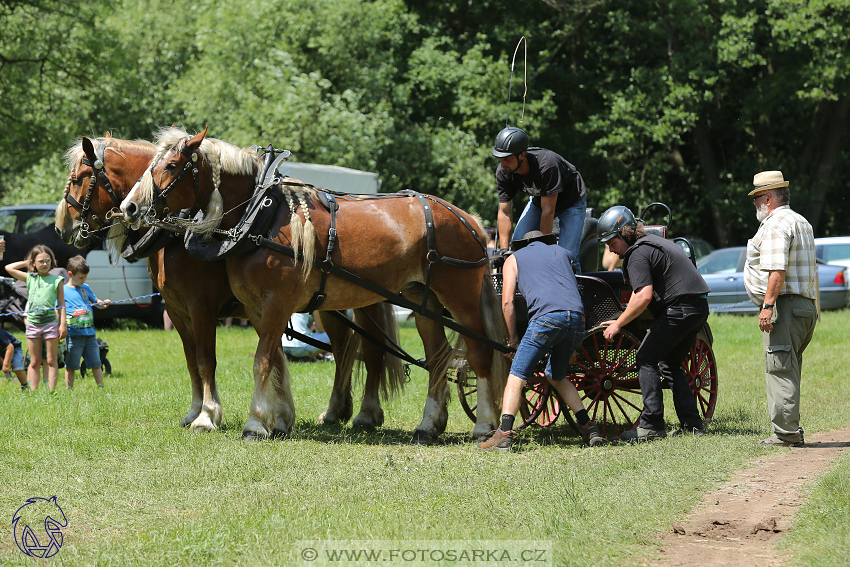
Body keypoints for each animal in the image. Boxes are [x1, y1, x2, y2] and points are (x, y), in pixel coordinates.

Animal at [55, 134, 404, 434]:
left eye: (80, 177)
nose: (62, 226)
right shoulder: (179, 311)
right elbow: (197, 360)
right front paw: (206, 411)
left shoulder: (203, 307)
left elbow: (208, 359)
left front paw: (209, 416)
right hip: (330, 303)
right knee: (345, 348)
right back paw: (335, 411)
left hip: (366, 301)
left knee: (372, 351)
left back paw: (366, 413)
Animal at [121, 127, 506, 444]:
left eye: (172, 165)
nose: (130, 207)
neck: (260, 216)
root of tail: (468, 219)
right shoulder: (253, 309)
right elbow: (273, 360)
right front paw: (277, 420)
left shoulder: (268, 303)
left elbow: (260, 360)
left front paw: (253, 423)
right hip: (423, 302)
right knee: (438, 356)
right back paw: (428, 425)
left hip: (460, 298)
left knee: (478, 351)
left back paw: (485, 423)